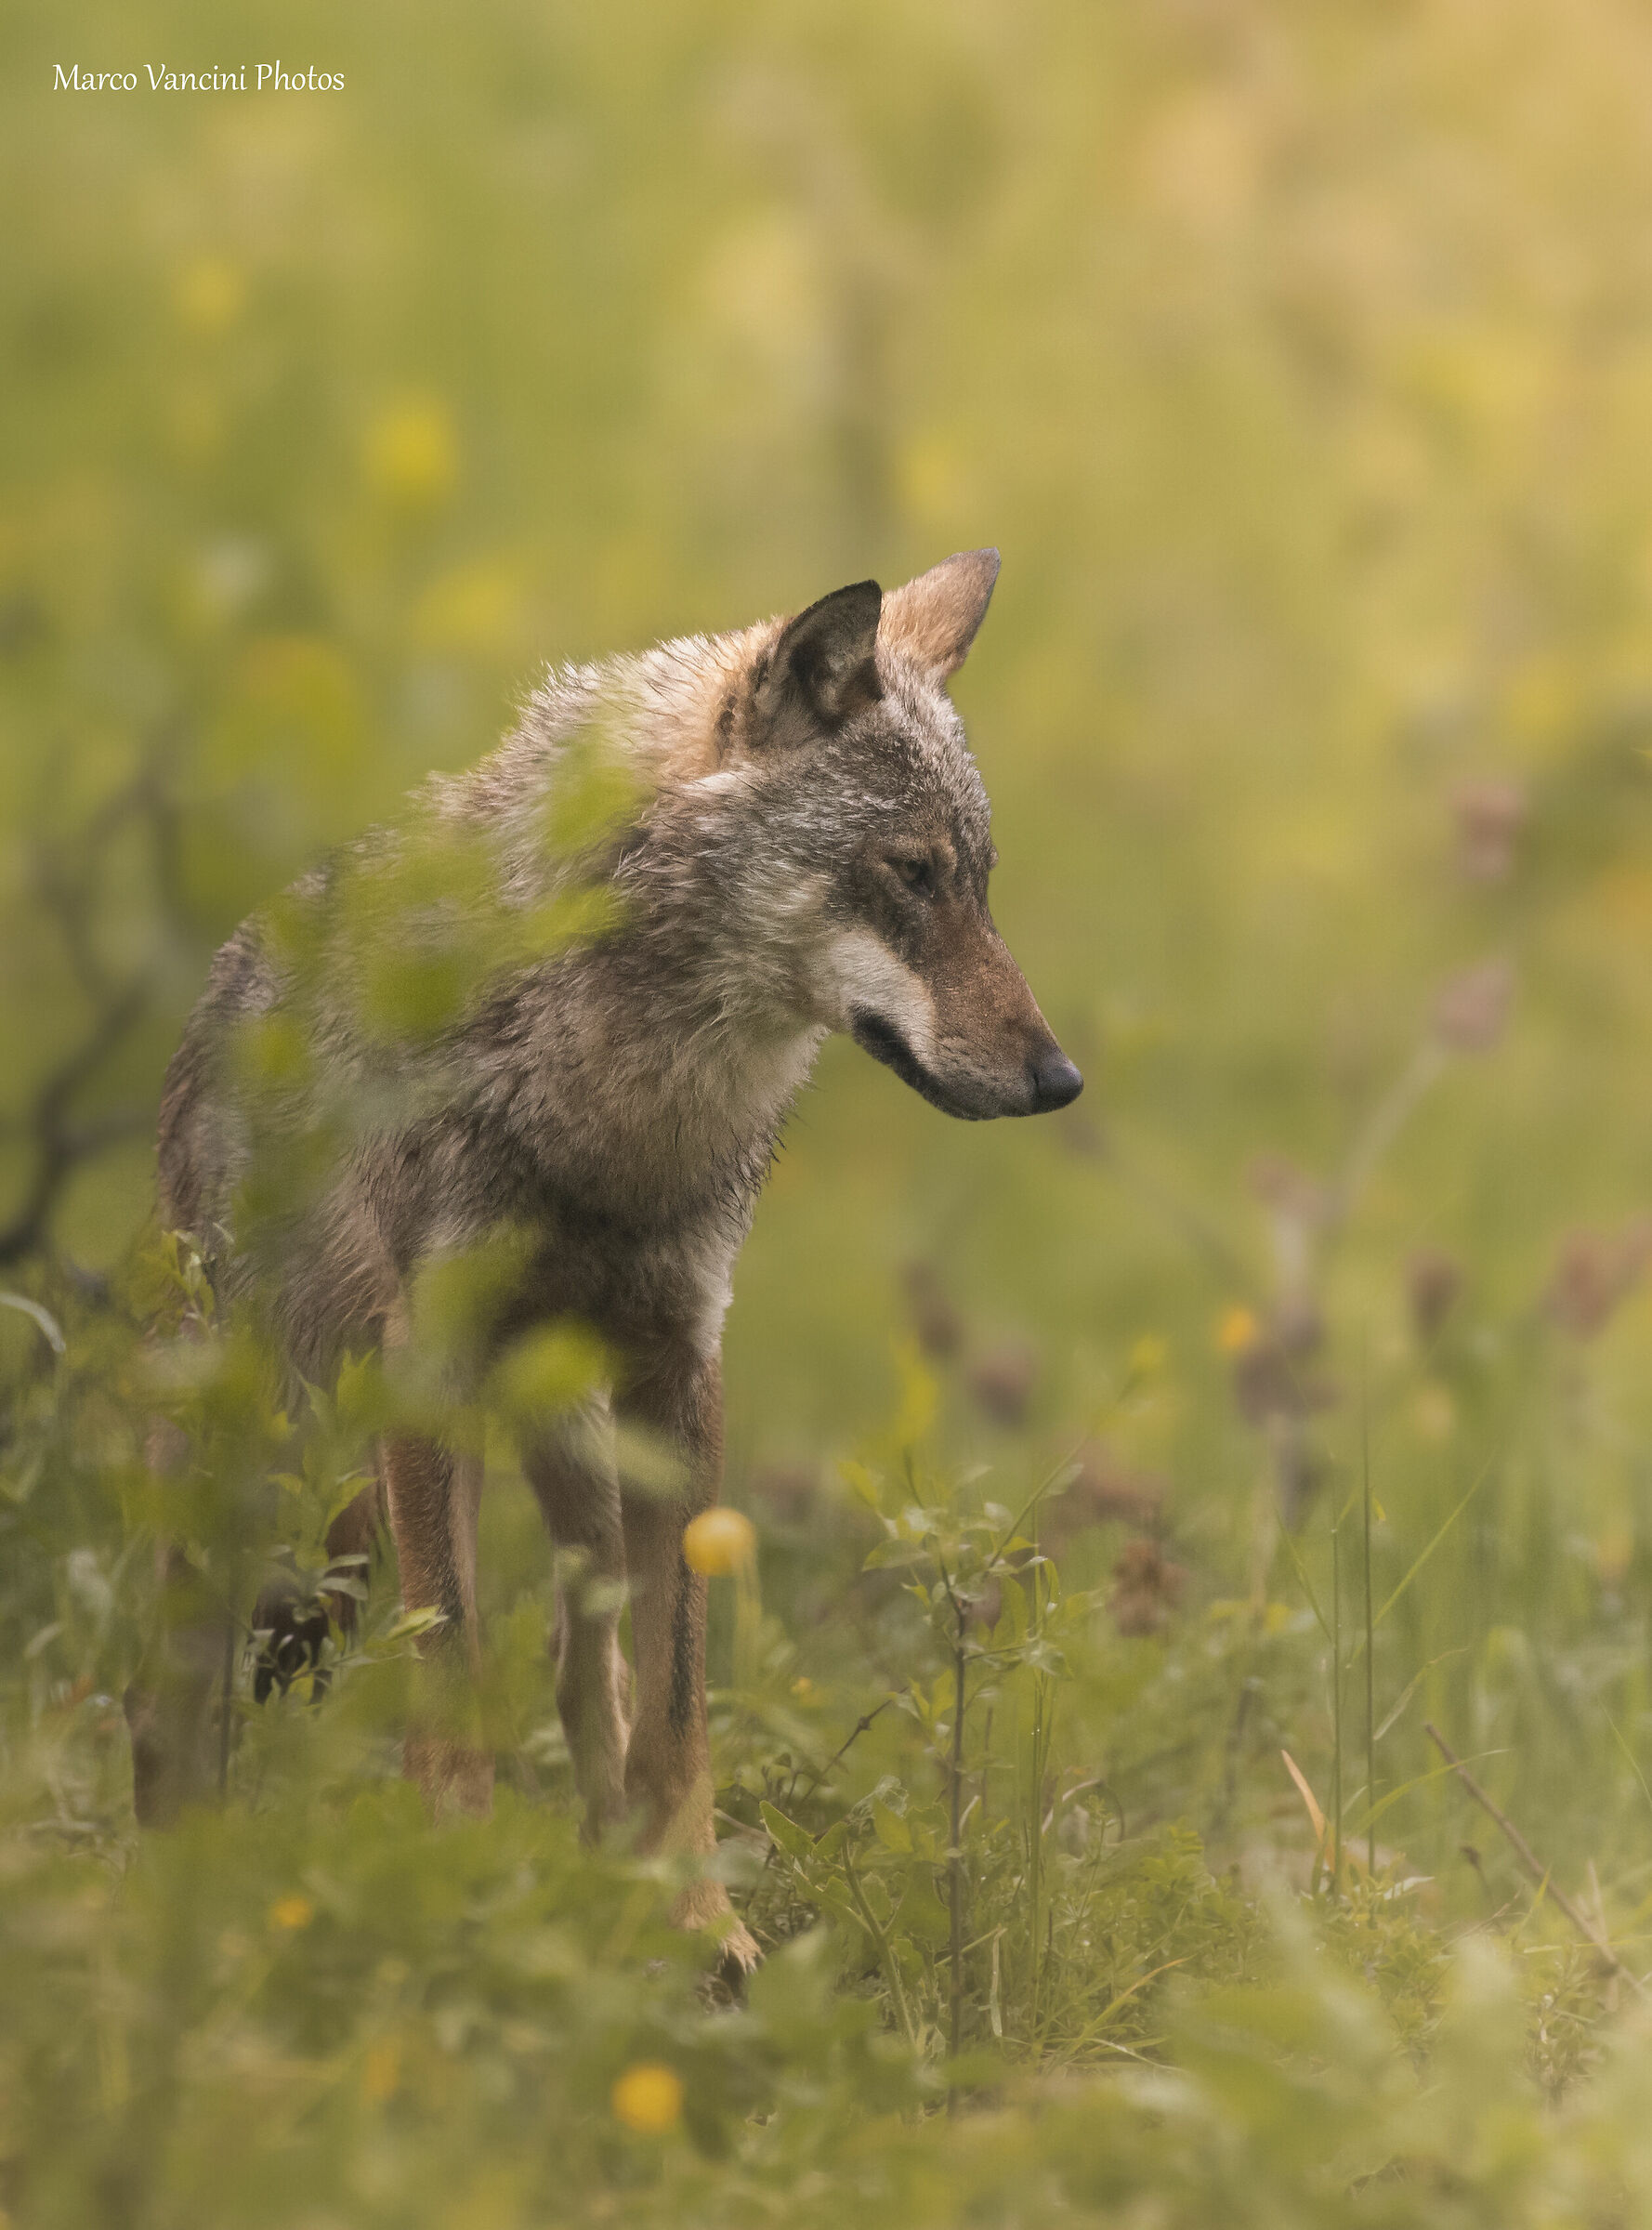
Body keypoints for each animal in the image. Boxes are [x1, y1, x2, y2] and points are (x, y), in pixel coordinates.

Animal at [129, 549, 1081, 1973]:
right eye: (908, 874)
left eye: (978, 881)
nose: (1058, 1080)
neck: (619, 1112)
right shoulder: (423, 1375)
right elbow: (450, 1682)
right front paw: (459, 1895)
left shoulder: (680, 1370)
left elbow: (675, 1704)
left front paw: (698, 1921)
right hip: (262, 1456)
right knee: (183, 1695)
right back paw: (178, 1874)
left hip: (564, 1447)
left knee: (592, 1678)